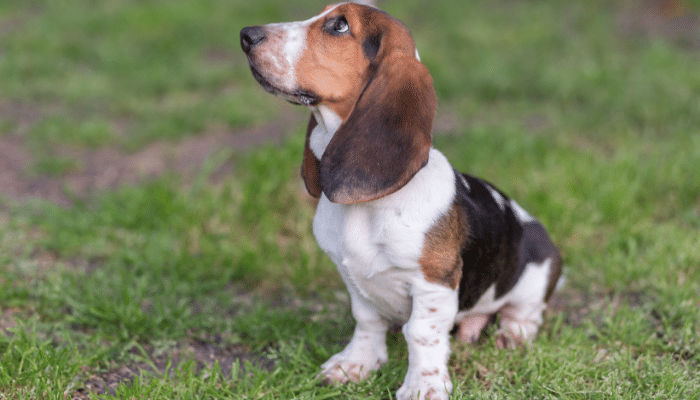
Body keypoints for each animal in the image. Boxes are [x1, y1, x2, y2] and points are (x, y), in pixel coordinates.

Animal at [241, 3, 564, 400]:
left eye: (339, 25)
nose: (246, 35)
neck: (369, 206)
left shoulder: (433, 283)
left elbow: (421, 333)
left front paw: (423, 385)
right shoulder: (351, 277)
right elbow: (366, 320)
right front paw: (356, 364)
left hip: (536, 271)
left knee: (525, 314)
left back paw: (511, 336)